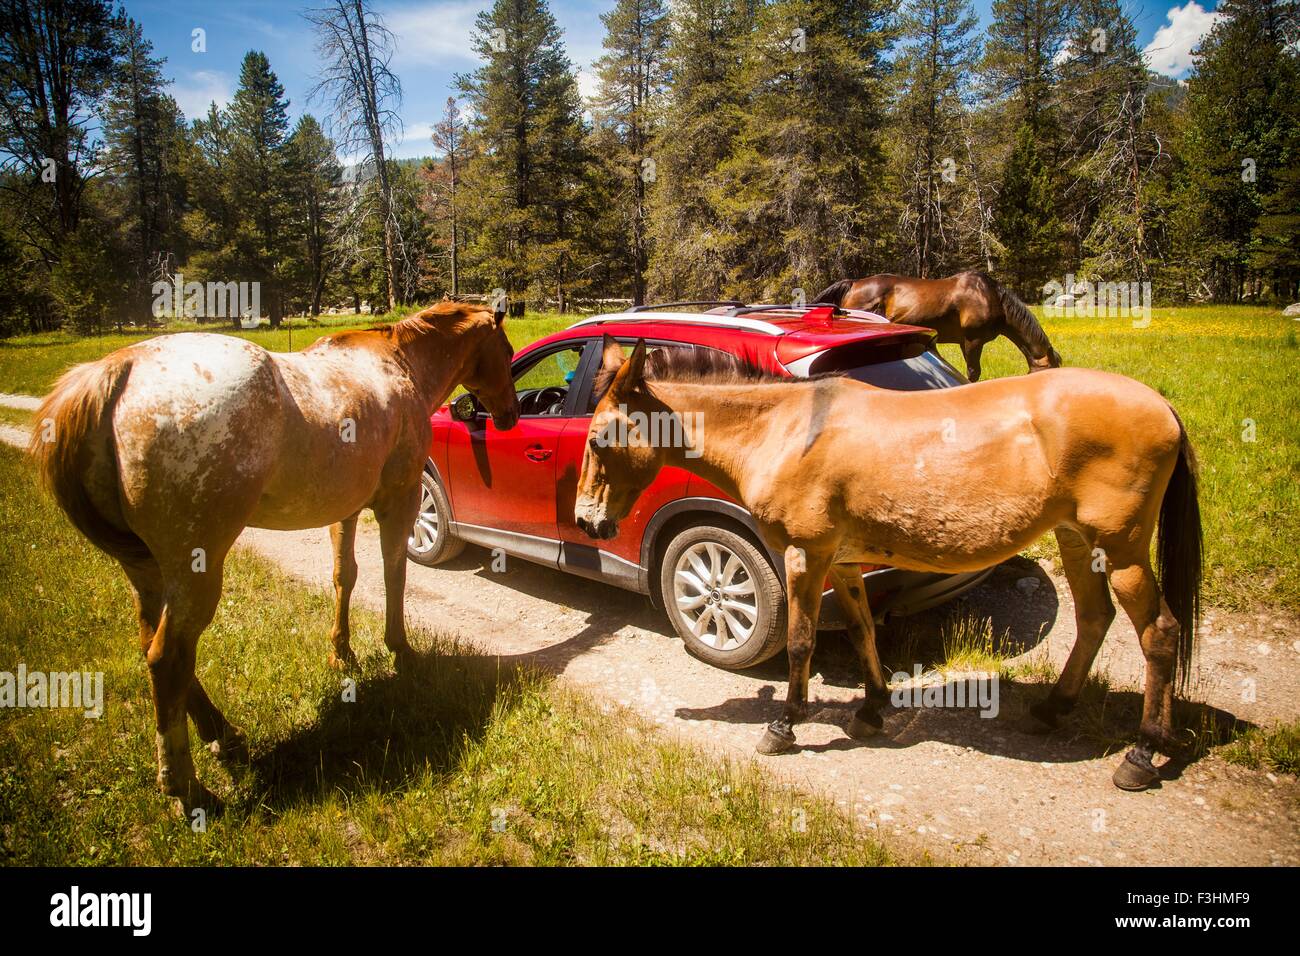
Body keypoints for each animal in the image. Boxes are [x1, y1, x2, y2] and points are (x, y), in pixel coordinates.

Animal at [30, 304, 517, 816]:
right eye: (505, 352)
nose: (509, 415)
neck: (400, 364)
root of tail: (119, 370)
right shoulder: (398, 499)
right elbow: (393, 574)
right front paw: (399, 649)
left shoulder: (345, 509)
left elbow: (345, 576)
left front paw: (342, 652)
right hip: (196, 568)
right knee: (167, 658)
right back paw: (187, 787)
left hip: (146, 570)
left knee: (152, 645)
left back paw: (222, 735)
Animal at [574, 335, 1201, 790]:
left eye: (602, 438)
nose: (586, 522)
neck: (782, 432)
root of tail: (1163, 406)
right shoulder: (843, 561)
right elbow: (861, 631)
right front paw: (873, 709)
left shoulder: (805, 555)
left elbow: (800, 643)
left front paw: (784, 725)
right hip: (1078, 542)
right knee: (1095, 619)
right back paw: (1055, 708)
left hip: (1120, 551)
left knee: (1160, 633)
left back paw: (1143, 752)